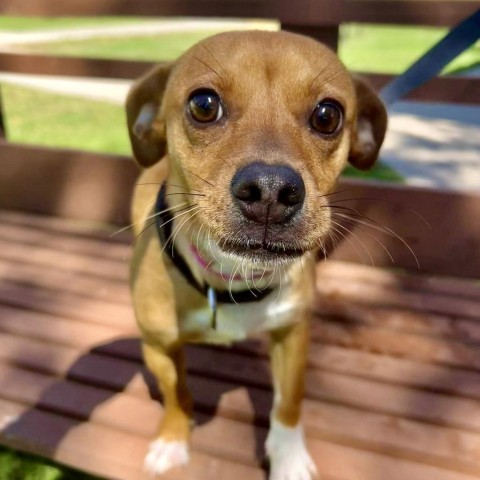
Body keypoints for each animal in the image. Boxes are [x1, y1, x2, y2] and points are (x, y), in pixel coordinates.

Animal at [126, 31, 386, 480]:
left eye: (327, 115)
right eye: (204, 105)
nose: (270, 190)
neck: (232, 278)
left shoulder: (293, 334)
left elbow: (288, 403)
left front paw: (289, 459)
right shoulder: (159, 347)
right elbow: (178, 394)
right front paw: (173, 439)